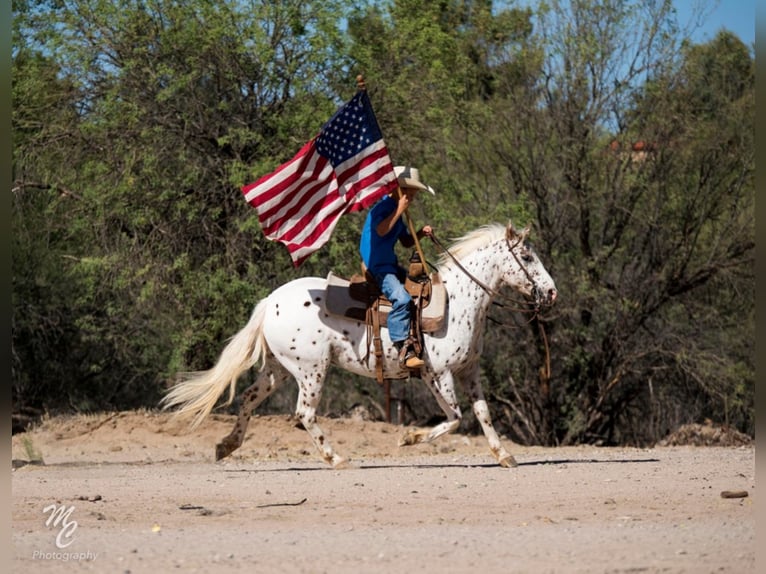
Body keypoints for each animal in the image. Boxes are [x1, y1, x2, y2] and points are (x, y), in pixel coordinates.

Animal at [164, 223, 560, 470]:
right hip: (311, 370)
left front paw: (504, 455)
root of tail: (270, 301)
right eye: (527, 257)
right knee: (304, 413)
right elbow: (455, 419)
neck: (458, 301)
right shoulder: (438, 374)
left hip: (279, 369)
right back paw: (336, 459)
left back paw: (226, 445)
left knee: (248, 398)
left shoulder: (469, 371)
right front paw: (409, 439)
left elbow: (482, 413)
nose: (552, 292)